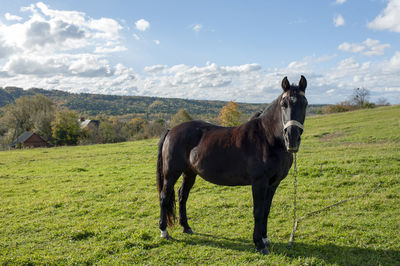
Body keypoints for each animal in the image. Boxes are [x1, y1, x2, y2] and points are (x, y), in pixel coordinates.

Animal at [155, 75, 306, 254]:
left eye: (304, 103)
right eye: (284, 104)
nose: (292, 138)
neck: (267, 138)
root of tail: (171, 130)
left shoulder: (273, 184)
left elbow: (266, 210)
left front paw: (264, 238)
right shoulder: (259, 183)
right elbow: (258, 211)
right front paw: (259, 244)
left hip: (189, 173)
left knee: (182, 195)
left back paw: (186, 227)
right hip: (171, 173)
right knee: (164, 197)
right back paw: (164, 231)